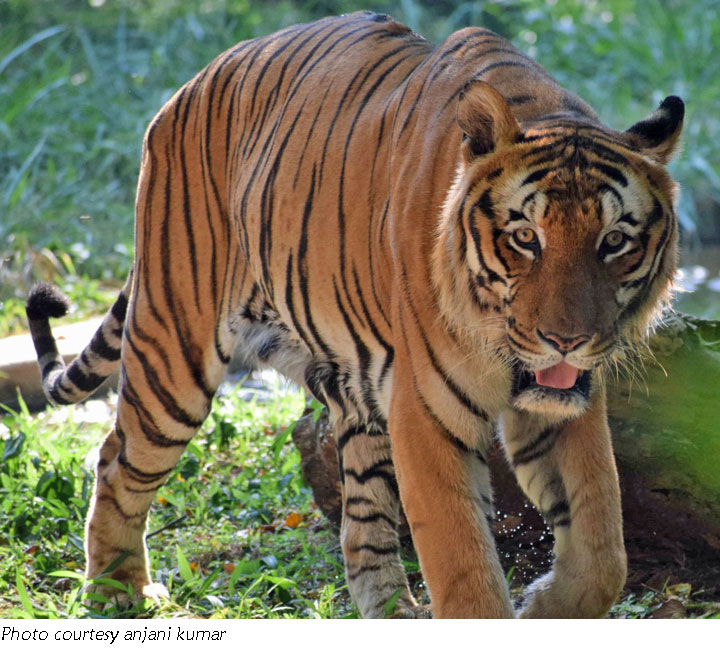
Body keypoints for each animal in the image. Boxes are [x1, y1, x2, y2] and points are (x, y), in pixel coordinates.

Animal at [26, 11, 683, 618]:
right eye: (526, 238)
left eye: (614, 242)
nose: (565, 340)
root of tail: (188, 85)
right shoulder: (427, 416)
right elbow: (466, 573)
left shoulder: (566, 407)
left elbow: (602, 550)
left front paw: (542, 608)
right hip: (173, 351)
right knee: (116, 460)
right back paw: (116, 593)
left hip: (356, 394)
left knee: (361, 526)